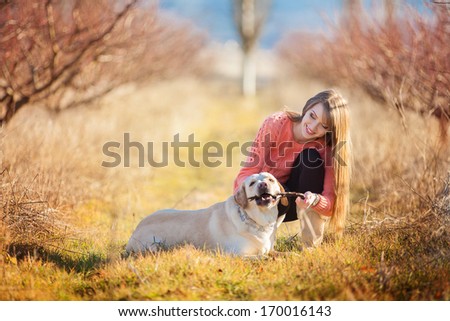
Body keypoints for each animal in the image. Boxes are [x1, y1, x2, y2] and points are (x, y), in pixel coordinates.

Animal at [125, 171, 288, 256]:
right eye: (252, 183)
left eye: (271, 180)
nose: (263, 185)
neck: (259, 220)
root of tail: (135, 230)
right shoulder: (236, 254)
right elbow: (261, 257)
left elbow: (279, 254)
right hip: (154, 246)